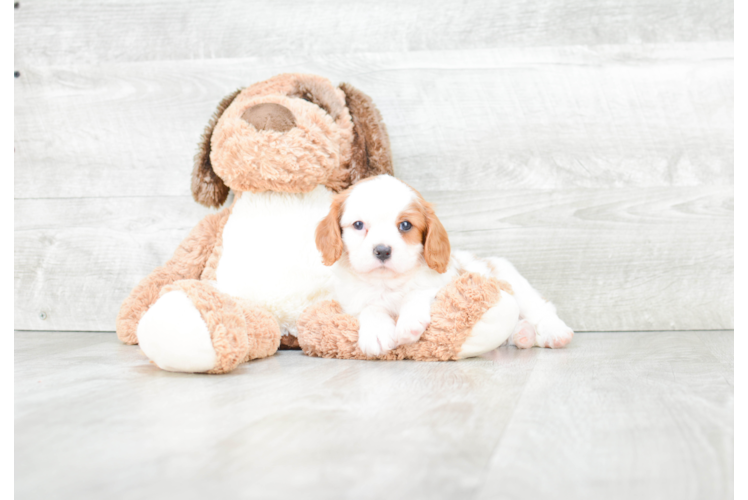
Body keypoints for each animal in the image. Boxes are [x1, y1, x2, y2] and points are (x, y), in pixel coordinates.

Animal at [316, 175, 572, 356]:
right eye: (358, 225)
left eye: (405, 225)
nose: (382, 250)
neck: (389, 283)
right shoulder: (352, 302)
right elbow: (370, 308)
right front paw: (377, 331)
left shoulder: (444, 284)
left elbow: (417, 292)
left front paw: (409, 322)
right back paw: (522, 333)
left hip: (514, 282)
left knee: (541, 309)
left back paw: (555, 333)